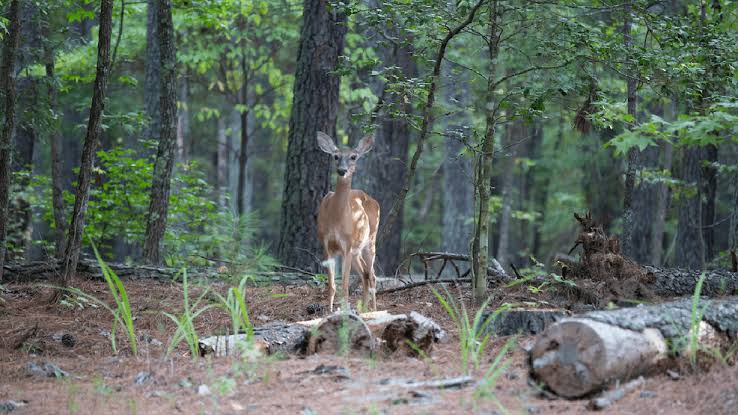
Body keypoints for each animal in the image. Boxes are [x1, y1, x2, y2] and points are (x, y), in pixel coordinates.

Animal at [316, 131, 380, 313]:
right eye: (336, 156)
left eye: (353, 157)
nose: (342, 170)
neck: (336, 219)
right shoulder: (326, 244)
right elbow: (332, 286)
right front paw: (329, 312)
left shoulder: (347, 245)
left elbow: (344, 286)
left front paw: (343, 313)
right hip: (357, 250)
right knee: (365, 274)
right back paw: (364, 309)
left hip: (370, 240)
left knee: (372, 275)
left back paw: (373, 310)